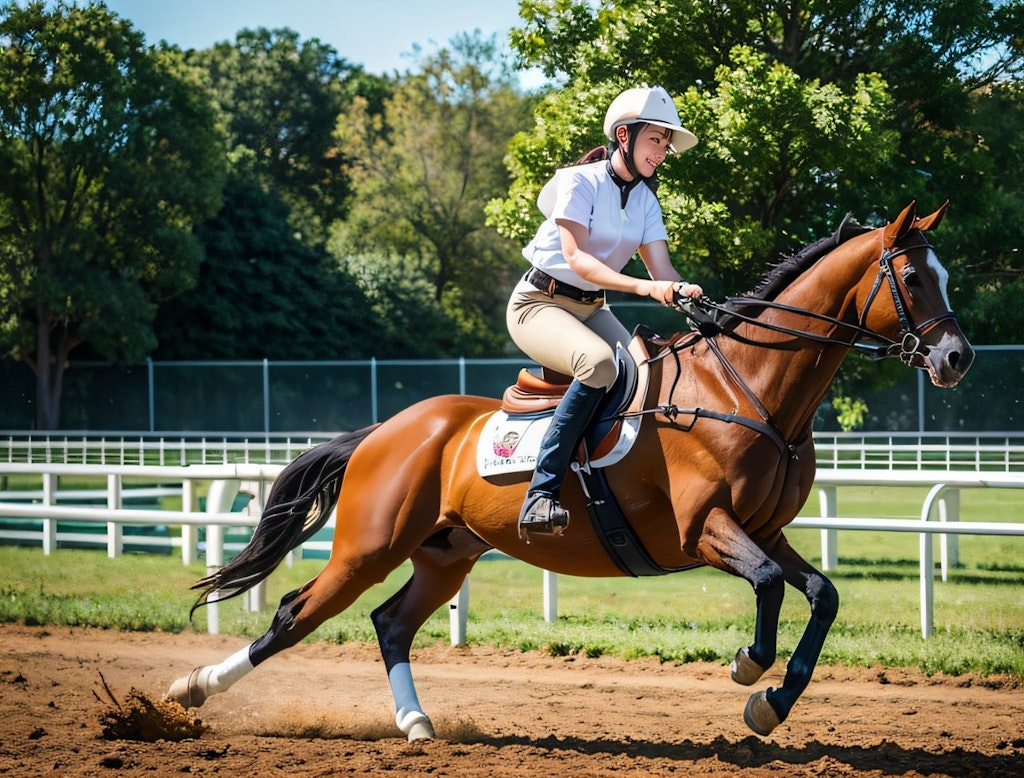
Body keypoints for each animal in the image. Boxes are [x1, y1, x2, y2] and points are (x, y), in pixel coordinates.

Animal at [167, 200, 974, 741]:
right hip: (369, 547)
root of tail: (386, 430)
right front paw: (750, 671)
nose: (957, 358)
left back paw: (417, 723)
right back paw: (191, 688)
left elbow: (822, 595)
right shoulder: (707, 530)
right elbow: (774, 588)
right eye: (911, 274)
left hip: (445, 555)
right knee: (293, 615)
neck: (745, 388)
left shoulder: (764, 528)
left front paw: (771, 704)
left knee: (390, 624)